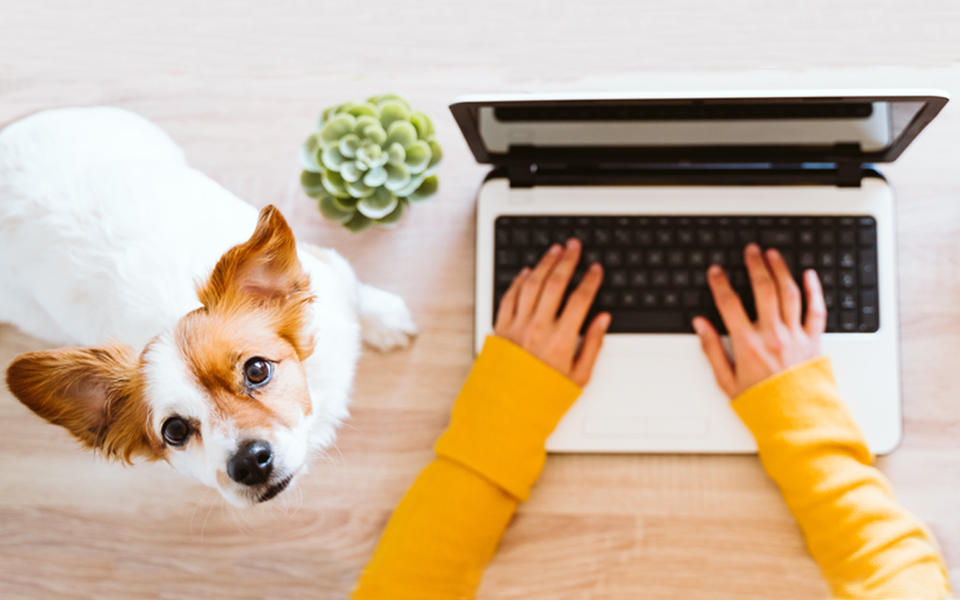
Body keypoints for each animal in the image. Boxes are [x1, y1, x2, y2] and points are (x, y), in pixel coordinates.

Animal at [0, 106, 416, 506]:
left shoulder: (328, 272)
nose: (249, 462)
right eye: (175, 430)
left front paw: (386, 320)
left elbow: (356, 289)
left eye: (257, 370)